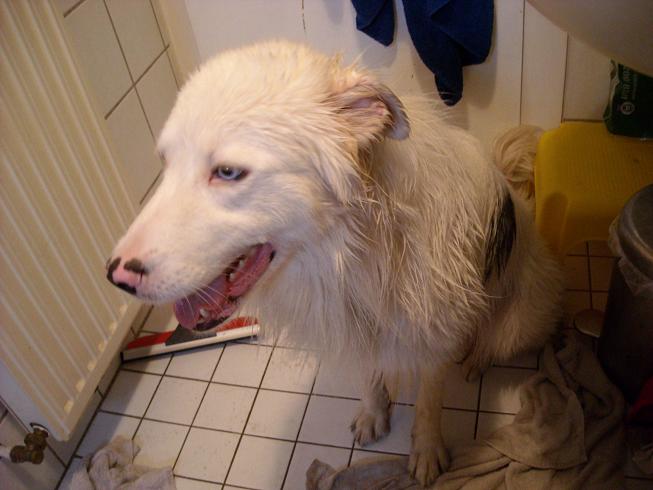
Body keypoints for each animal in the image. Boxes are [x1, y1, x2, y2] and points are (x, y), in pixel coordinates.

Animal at [107, 41, 563, 486]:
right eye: (165, 163)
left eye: (229, 172)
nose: (115, 276)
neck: (346, 252)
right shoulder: (352, 323)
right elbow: (368, 376)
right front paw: (374, 414)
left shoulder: (435, 328)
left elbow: (429, 401)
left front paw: (427, 450)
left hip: (520, 318)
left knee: (494, 339)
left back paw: (475, 359)